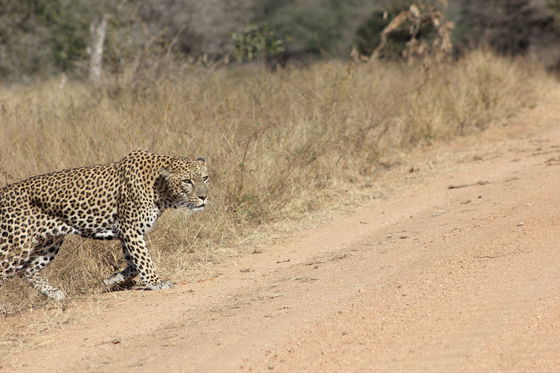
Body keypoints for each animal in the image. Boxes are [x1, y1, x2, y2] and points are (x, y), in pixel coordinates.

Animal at [0, 150, 208, 298]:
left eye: (205, 178)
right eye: (187, 181)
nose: (204, 197)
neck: (162, 191)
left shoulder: (126, 233)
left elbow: (134, 263)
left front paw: (112, 279)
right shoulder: (131, 231)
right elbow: (144, 260)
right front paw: (156, 282)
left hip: (50, 243)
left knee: (28, 271)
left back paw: (55, 294)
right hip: (15, 247)